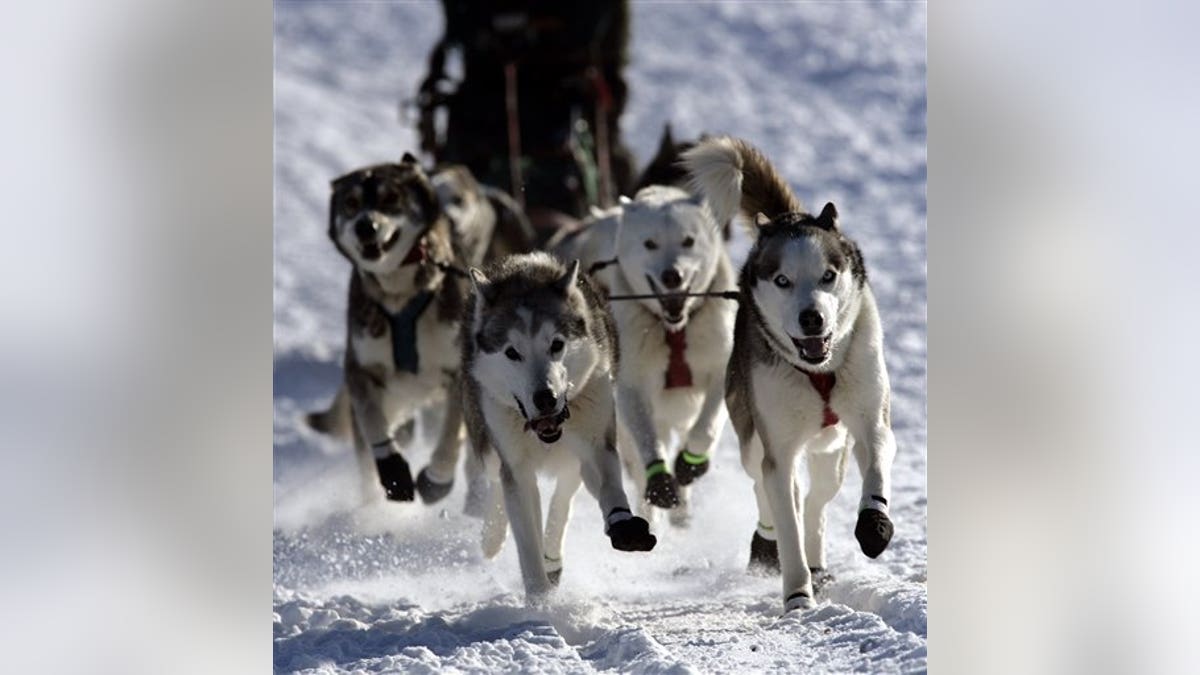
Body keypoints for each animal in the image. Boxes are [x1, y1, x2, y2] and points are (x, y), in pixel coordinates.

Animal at [304, 153, 530, 504]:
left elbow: (450, 436)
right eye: (351, 204)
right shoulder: (362, 370)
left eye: (391, 198)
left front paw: (437, 478)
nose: (365, 225)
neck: (401, 296)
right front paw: (392, 470)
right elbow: (374, 426)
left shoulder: (458, 374)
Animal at [463, 253, 662, 598]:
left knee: (564, 497)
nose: (545, 398)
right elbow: (526, 540)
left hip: (576, 455)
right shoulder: (516, 468)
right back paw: (493, 537)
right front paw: (540, 601)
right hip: (489, 442)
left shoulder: (597, 445)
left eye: (556, 345)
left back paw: (553, 554)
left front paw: (622, 524)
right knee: (497, 482)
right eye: (512, 352)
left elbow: (608, 488)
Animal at [549, 182, 734, 521]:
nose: (672, 275)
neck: (674, 331)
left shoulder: (719, 369)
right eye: (650, 244)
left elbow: (706, 427)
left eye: (688, 240)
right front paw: (660, 482)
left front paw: (690, 464)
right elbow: (647, 438)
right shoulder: (632, 386)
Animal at [681, 135, 897, 610]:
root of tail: (786, 218)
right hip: (751, 437)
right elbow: (785, 514)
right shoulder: (777, 450)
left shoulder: (870, 419)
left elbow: (874, 464)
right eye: (782, 280)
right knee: (768, 490)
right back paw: (769, 543)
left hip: (831, 449)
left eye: (829, 276)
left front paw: (873, 525)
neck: (820, 370)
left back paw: (818, 559)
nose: (811, 318)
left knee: (817, 499)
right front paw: (797, 595)